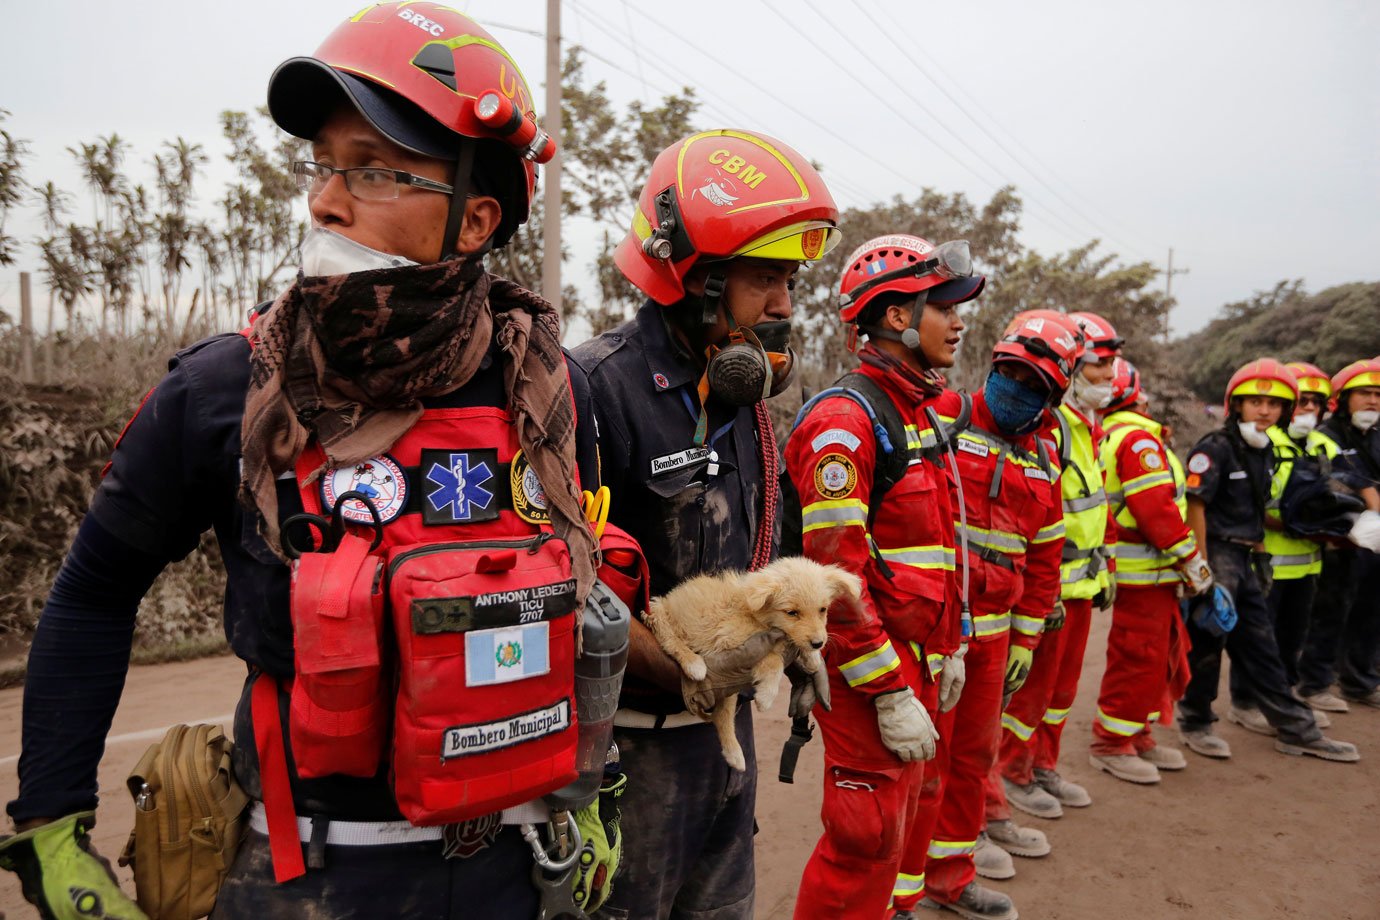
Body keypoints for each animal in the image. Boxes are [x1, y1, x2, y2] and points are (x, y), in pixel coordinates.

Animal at [645, 557, 861, 772]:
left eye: (822, 610)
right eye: (792, 612)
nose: (818, 643)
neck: (751, 611)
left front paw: (813, 658)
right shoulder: (735, 640)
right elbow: (774, 660)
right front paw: (766, 696)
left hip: (725, 688)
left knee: (722, 715)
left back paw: (734, 754)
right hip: (657, 609)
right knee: (664, 630)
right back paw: (694, 664)